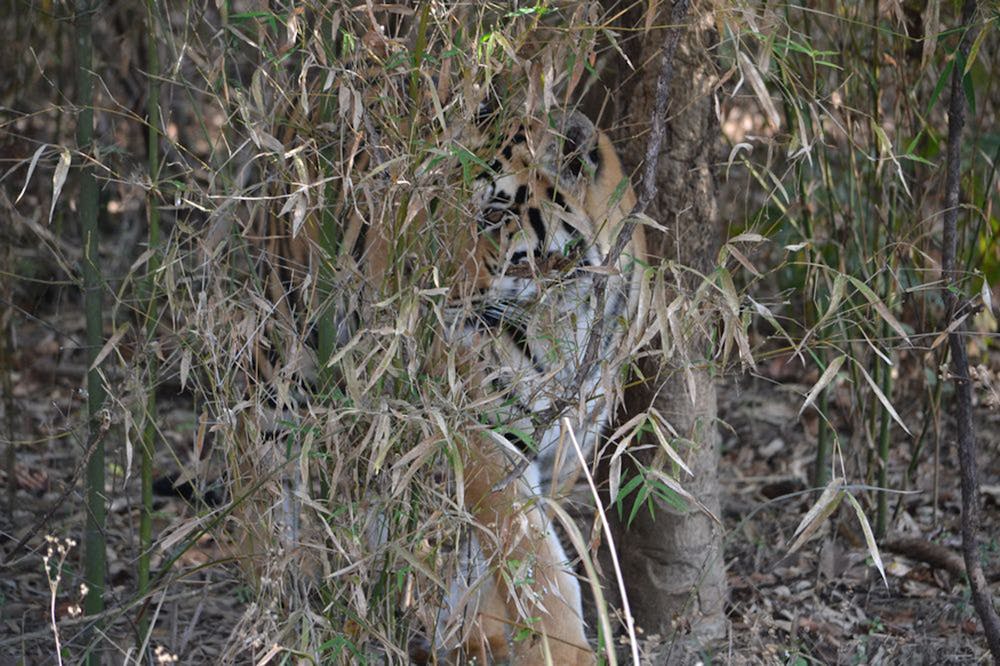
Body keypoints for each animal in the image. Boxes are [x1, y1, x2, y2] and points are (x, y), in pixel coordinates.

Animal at [241, 102, 648, 664]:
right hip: (284, 357)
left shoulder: (567, 441)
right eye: (434, 210)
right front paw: (564, 651)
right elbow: (533, 558)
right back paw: (284, 592)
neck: (563, 313)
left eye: (495, 215)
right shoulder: (474, 427)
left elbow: (500, 552)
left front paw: (484, 635)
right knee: (267, 478)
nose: (421, 283)